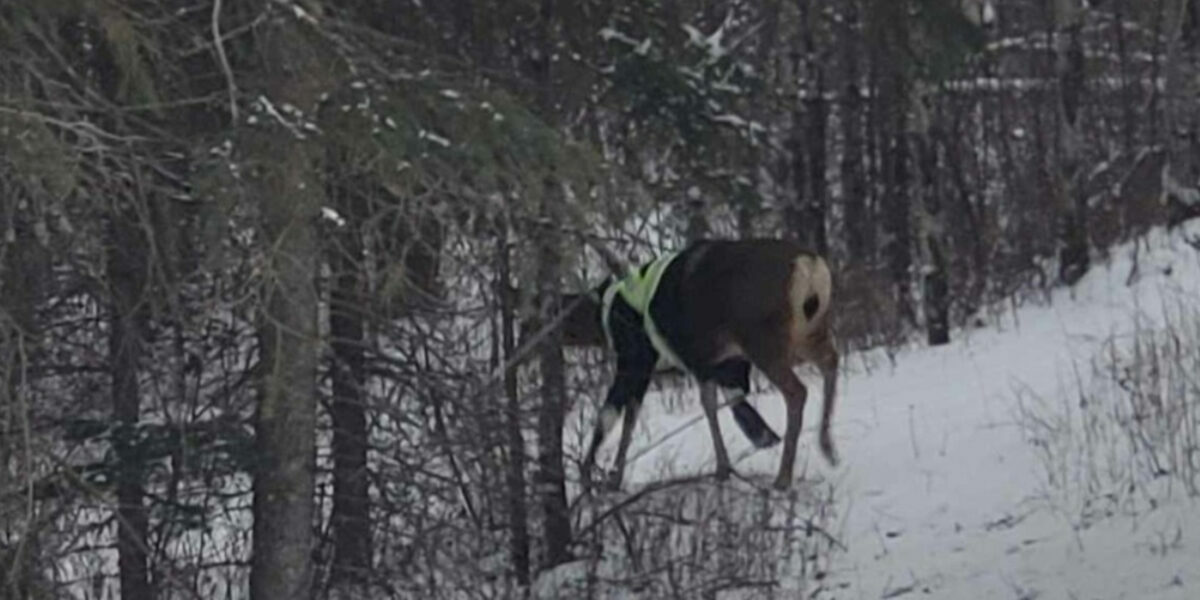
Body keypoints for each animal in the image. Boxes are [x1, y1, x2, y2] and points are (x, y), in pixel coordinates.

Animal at [559, 238, 835, 492]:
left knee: (797, 390)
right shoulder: (717, 363)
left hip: (761, 337)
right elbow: (710, 404)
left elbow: (611, 413)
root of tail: (810, 266)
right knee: (830, 362)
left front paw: (592, 476)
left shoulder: (638, 358)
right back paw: (827, 447)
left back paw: (783, 477)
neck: (608, 315)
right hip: (808, 332)